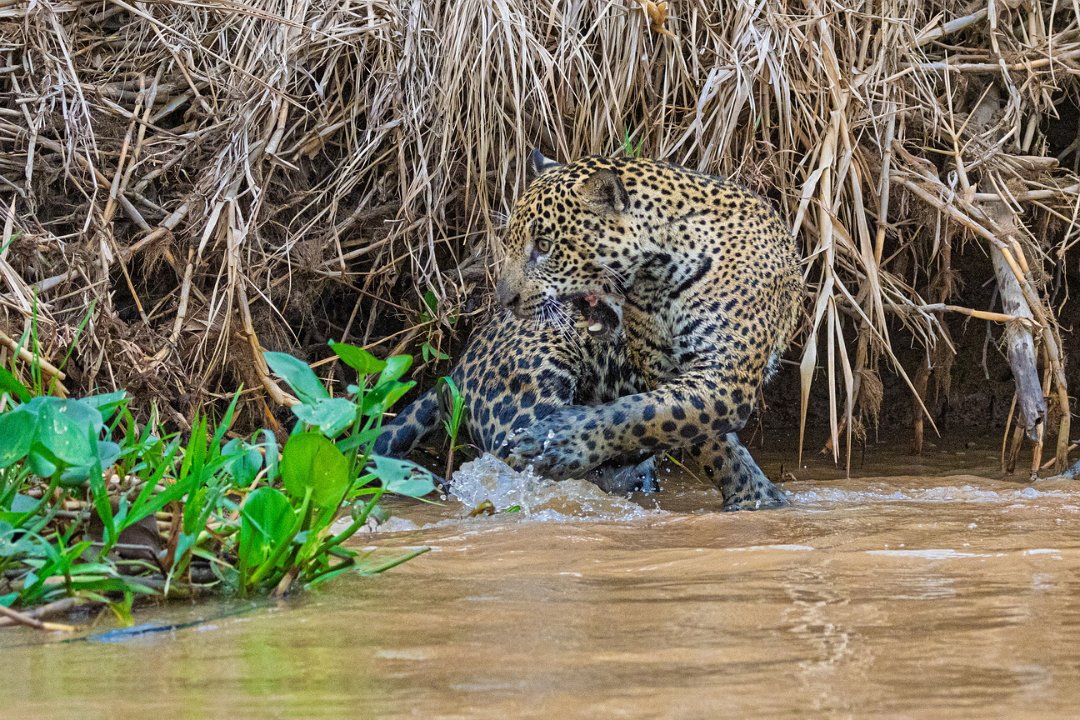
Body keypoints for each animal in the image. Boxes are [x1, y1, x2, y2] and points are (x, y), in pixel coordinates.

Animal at [497, 150, 804, 511]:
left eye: (544, 245)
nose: (505, 298)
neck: (660, 274)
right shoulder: (665, 370)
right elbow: (701, 438)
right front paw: (752, 495)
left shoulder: (727, 375)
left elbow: (641, 414)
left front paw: (559, 443)